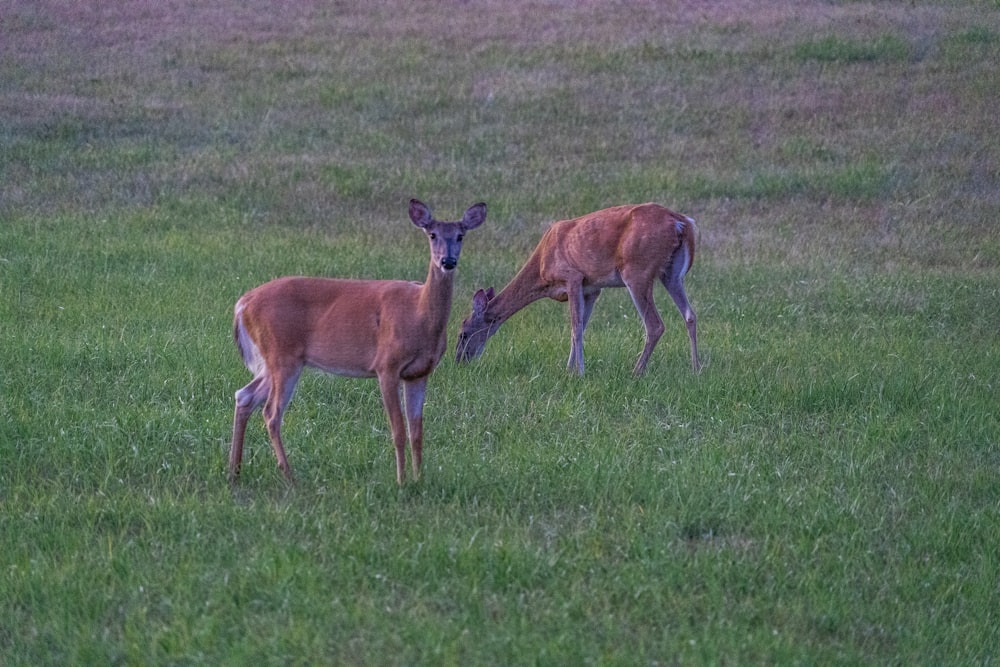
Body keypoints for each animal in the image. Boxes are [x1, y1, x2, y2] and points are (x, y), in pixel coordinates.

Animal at [231, 198, 488, 486]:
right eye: (432, 235)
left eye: (461, 235)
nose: (448, 261)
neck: (418, 314)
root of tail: (242, 304)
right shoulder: (386, 365)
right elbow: (398, 430)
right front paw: (401, 481)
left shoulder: (419, 373)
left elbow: (417, 432)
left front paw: (419, 479)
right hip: (282, 355)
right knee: (271, 413)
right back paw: (289, 476)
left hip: (274, 361)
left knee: (244, 395)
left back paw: (234, 471)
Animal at [458, 201, 700, 376]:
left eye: (463, 333)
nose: (460, 360)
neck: (542, 270)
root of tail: (682, 222)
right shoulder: (591, 288)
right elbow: (582, 326)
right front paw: (569, 369)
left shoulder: (572, 276)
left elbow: (575, 327)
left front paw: (579, 372)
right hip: (672, 273)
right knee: (690, 315)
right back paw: (696, 369)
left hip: (637, 270)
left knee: (655, 325)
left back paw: (636, 371)